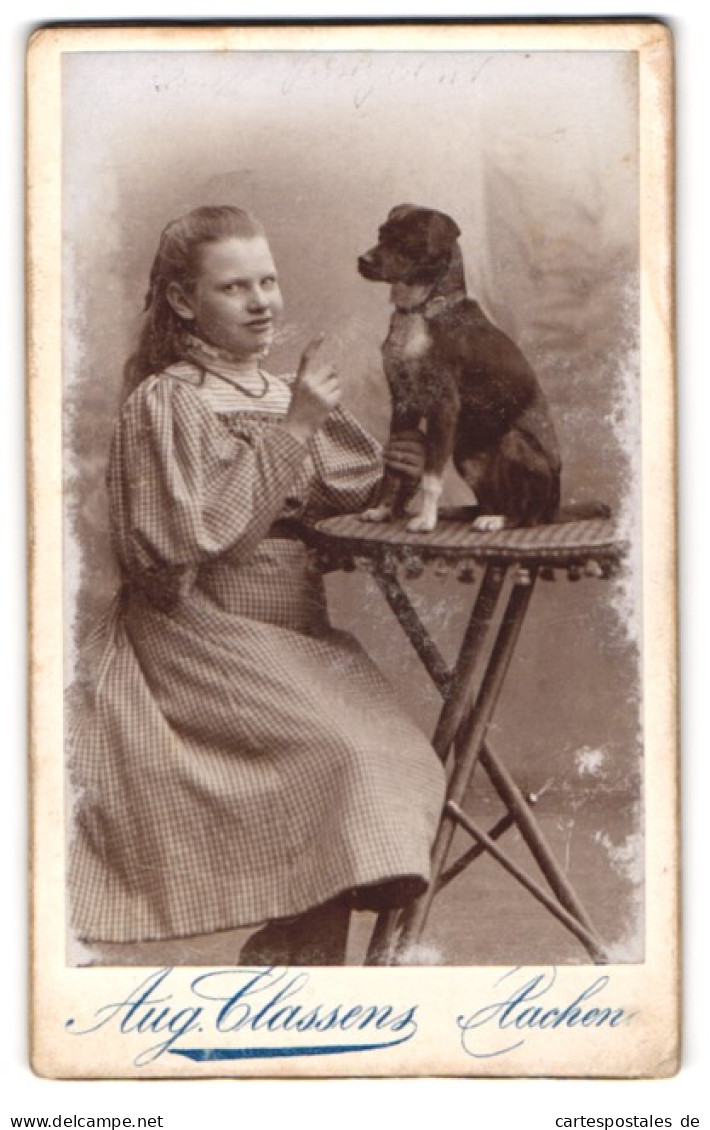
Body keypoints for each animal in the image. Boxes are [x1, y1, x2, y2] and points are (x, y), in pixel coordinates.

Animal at [357, 204, 563, 533]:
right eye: (381, 233)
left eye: (405, 240)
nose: (362, 261)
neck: (421, 310)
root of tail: (555, 511)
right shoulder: (402, 404)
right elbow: (393, 470)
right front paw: (382, 510)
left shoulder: (443, 407)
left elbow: (431, 477)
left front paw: (426, 520)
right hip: (467, 456)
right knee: (492, 500)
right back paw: (471, 513)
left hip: (514, 443)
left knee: (526, 516)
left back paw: (497, 521)